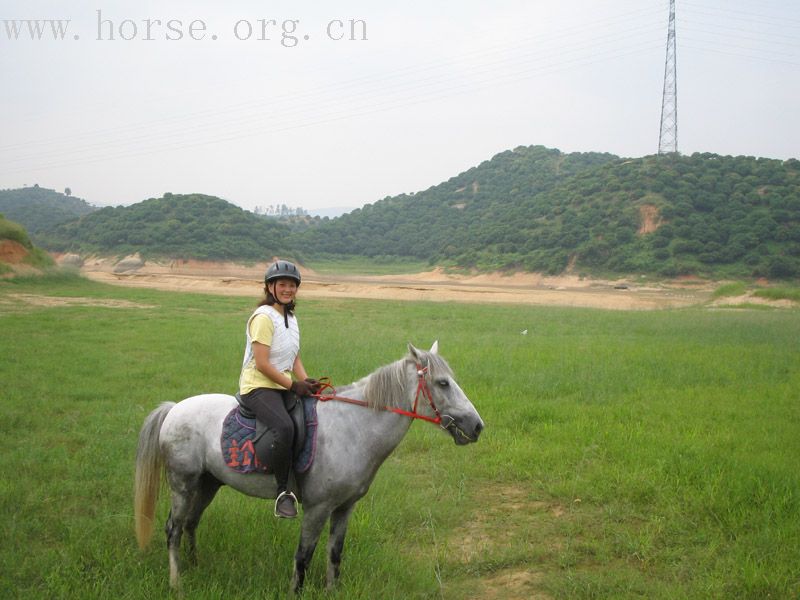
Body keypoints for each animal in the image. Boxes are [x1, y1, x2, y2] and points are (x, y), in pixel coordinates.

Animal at [134, 344, 484, 592]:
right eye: (442, 383)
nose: (477, 426)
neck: (353, 427)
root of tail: (173, 410)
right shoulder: (318, 507)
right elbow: (304, 556)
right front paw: (296, 591)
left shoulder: (344, 507)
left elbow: (334, 553)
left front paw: (333, 590)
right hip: (183, 483)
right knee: (174, 528)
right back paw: (177, 582)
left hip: (208, 483)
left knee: (191, 524)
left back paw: (195, 567)